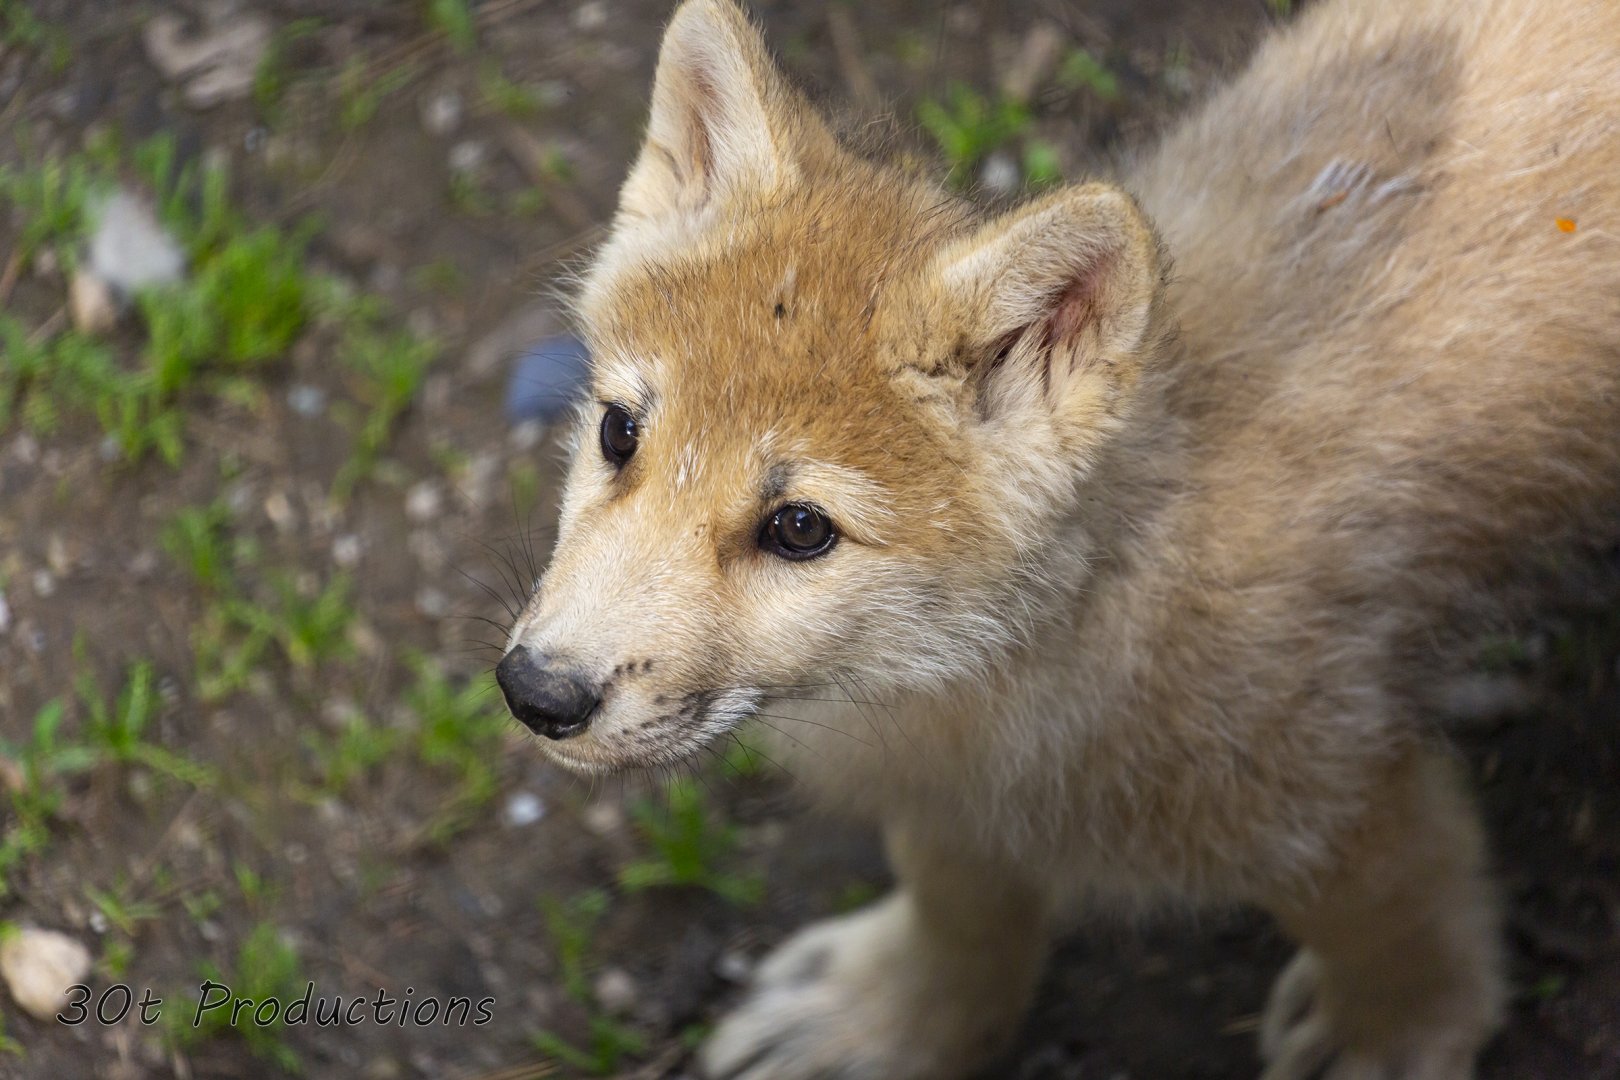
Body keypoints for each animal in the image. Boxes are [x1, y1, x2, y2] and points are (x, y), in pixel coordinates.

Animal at [494, 0, 1620, 1075]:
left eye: (800, 528)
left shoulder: (1336, 787)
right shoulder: (955, 800)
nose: (535, 693)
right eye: (618, 432)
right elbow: (958, 908)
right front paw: (898, 1016)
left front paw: (1390, 1033)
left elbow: (1401, 923)